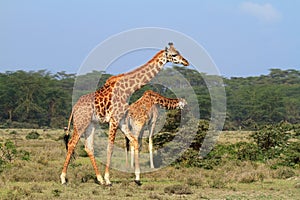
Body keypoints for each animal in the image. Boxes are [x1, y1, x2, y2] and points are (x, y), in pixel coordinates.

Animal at [59, 42, 189, 186]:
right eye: (174, 54)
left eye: (178, 52)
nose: (186, 62)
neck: (128, 89)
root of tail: (74, 108)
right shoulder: (114, 120)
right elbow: (110, 148)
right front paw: (108, 179)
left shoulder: (121, 121)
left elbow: (134, 142)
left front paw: (137, 178)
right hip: (81, 122)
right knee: (72, 143)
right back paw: (64, 178)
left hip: (91, 124)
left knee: (89, 147)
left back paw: (99, 179)